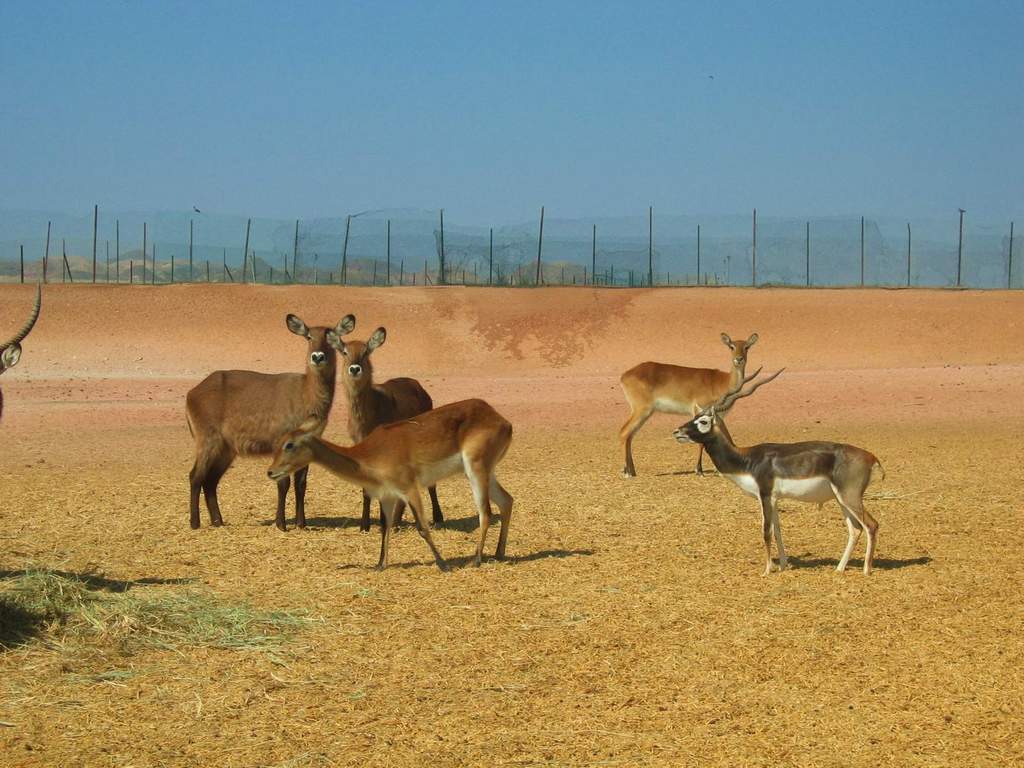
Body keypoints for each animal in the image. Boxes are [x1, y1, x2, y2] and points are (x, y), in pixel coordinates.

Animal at [186, 313, 356, 532]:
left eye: (330, 337)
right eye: (308, 336)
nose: (317, 357)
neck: (306, 393)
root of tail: (193, 392)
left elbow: (301, 485)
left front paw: (302, 523)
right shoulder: (279, 442)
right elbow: (283, 483)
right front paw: (281, 524)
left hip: (226, 449)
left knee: (210, 481)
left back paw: (218, 522)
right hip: (208, 441)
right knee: (195, 476)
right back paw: (195, 523)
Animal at [267, 398, 514, 571]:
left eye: (289, 444)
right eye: (278, 443)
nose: (270, 471)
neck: (367, 457)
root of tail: (503, 420)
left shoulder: (409, 488)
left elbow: (422, 527)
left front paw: (443, 564)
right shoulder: (387, 496)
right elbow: (384, 528)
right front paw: (380, 564)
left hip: (475, 468)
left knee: (486, 512)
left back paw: (476, 560)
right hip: (486, 472)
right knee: (507, 500)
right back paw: (499, 553)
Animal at [328, 326, 444, 532]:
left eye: (366, 352)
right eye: (344, 351)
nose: (355, 368)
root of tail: (418, 386)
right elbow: (366, 488)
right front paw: (364, 525)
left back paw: (437, 519)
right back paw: (397, 522)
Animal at [619, 332, 759, 478]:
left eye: (747, 347)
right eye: (731, 346)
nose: (739, 359)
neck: (723, 382)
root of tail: (625, 375)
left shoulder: (719, 416)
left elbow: (726, 435)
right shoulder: (699, 411)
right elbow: (701, 441)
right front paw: (699, 470)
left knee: (629, 436)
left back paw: (632, 471)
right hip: (641, 410)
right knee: (624, 432)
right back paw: (627, 473)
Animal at [672, 367, 884, 576]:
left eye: (703, 421)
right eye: (693, 417)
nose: (677, 432)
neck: (747, 460)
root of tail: (871, 456)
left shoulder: (765, 496)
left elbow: (766, 531)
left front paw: (767, 570)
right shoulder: (775, 499)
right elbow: (778, 531)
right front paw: (782, 565)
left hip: (849, 496)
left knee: (871, 525)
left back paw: (866, 570)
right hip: (841, 500)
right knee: (855, 529)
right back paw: (839, 568)